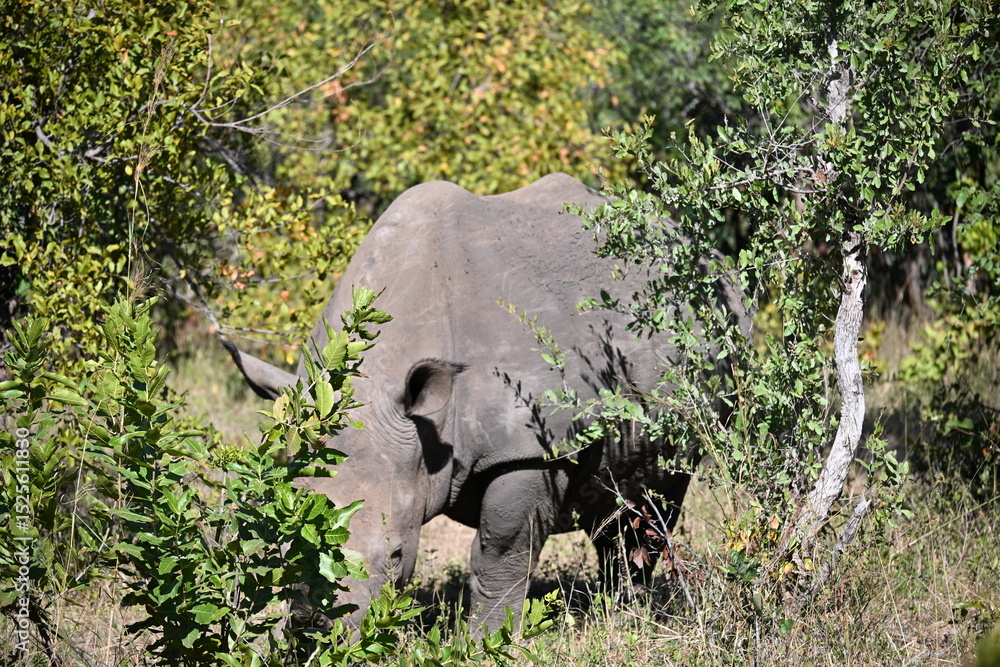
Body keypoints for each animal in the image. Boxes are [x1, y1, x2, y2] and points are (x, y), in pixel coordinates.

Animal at [227, 173, 749, 632]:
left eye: (396, 554)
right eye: (281, 545)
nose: (313, 628)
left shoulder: (527, 446)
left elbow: (500, 550)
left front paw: (486, 641)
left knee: (655, 499)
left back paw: (627, 615)